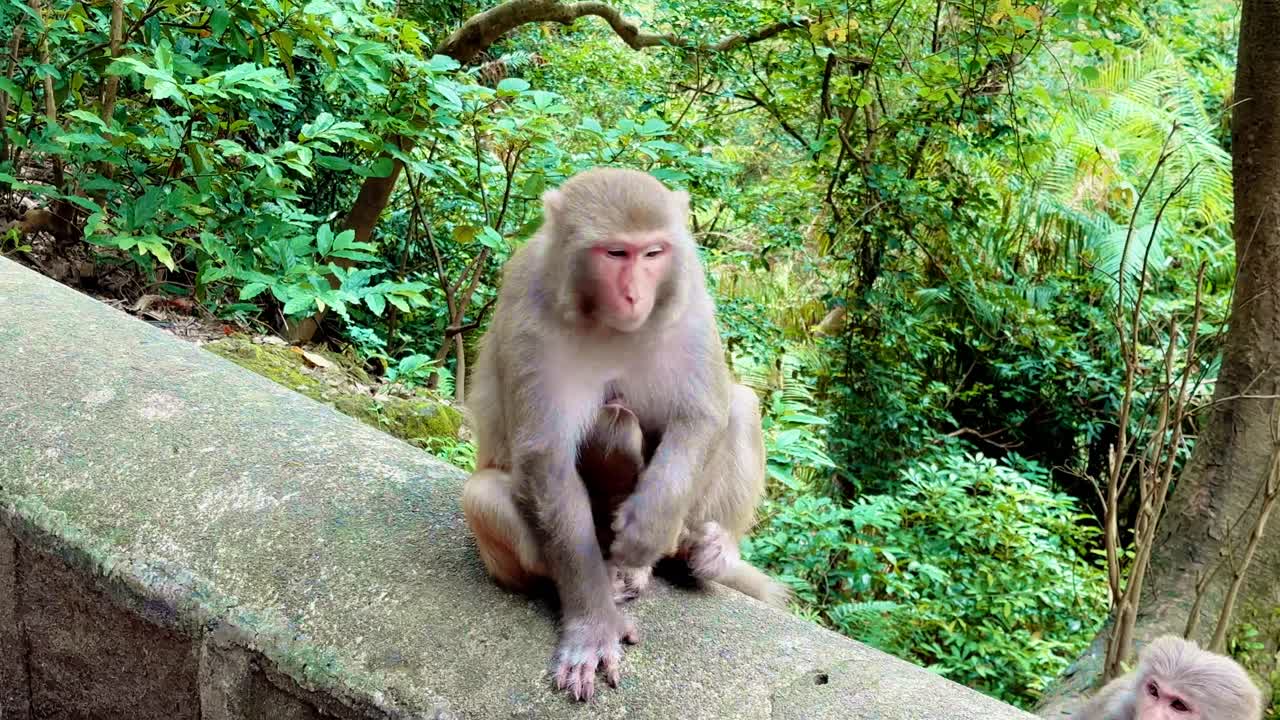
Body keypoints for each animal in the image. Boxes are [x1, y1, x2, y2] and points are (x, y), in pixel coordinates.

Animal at [461, 167, 790, 702]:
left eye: (653, 253)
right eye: (615, 253)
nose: (635, 294)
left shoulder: (689, 288)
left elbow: (703, 413)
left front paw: (647, 529)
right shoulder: (530, 308)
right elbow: (546, 460)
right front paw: (593, 628)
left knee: (740, 408)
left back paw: (703, 552)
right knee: (490, 491)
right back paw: (609, 581)